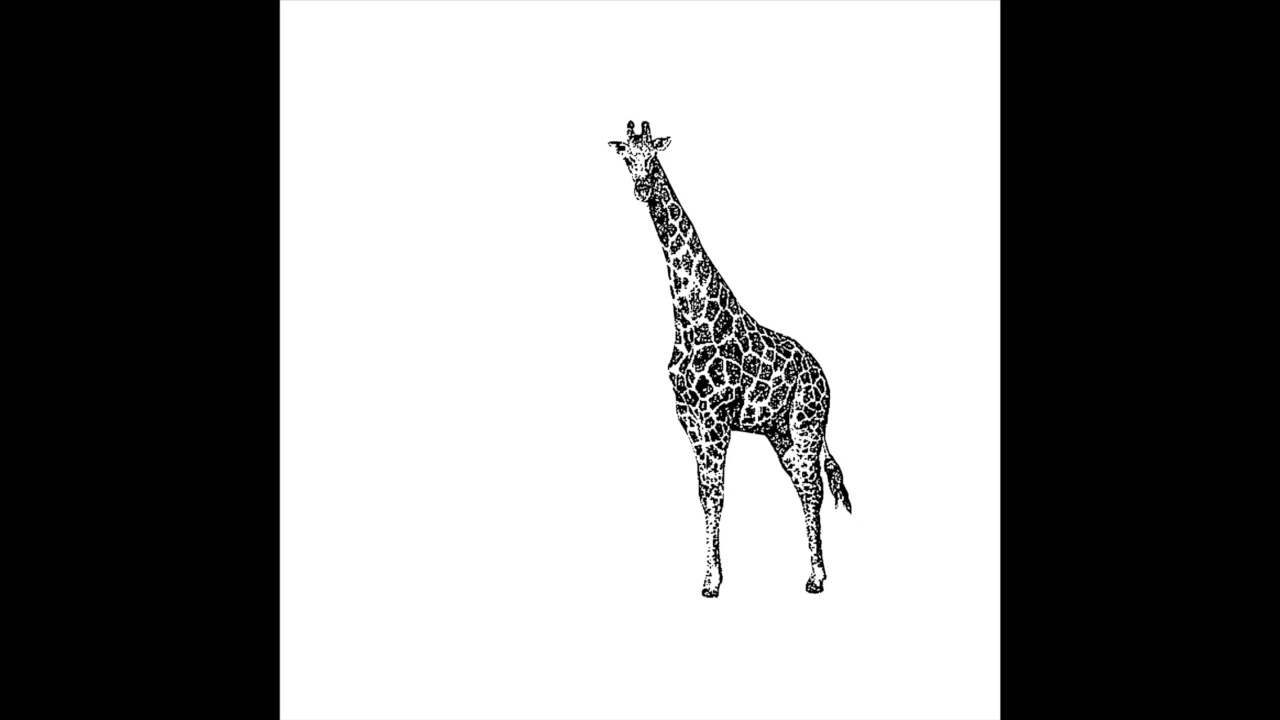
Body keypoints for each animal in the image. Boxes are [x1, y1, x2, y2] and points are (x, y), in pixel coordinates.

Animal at [608, 121, 851, 597]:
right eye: (626, 156)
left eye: (654, 156)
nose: (642, 188)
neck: (691, 317)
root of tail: (823, 373)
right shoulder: (690, 419)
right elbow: (704, 495)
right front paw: (709, 577)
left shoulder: (716, 418)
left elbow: (717, 494)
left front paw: (712, 583)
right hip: (780, 432)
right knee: (803, 485)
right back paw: (812, 572)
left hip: (807, 425)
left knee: (812, 486)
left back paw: (817, 578)